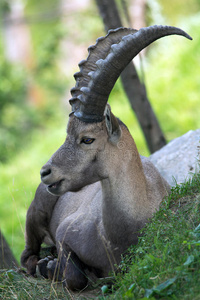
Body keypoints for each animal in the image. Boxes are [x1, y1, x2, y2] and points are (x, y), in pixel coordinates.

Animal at [21, 25, 191, 290]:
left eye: (87, 139)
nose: (45, 172)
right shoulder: (64, 232)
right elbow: (76, 277)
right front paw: (52, 267)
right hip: (35, 213)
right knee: (26, 255)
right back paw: (43, 264)